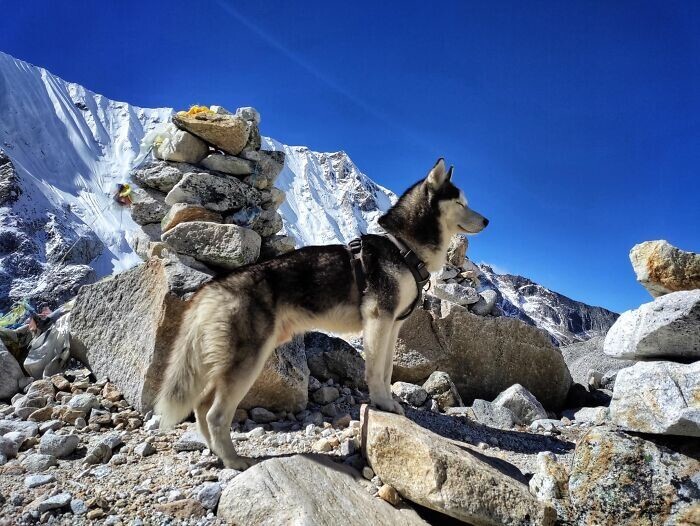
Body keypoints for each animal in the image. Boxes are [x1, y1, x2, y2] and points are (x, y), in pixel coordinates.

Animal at [156, 158, 490, 470]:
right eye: (460, 202)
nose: (487, 220)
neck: (404, 248)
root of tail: (213, 287)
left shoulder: (393, 326)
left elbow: (386, 371)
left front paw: (389, 402)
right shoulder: (378, 321)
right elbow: (375, 373)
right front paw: (382, 403)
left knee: (200, 406)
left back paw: (215, 452)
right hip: (248, 361)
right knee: (215, 413)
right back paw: (233, 460)